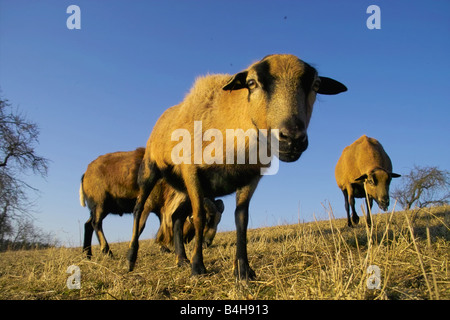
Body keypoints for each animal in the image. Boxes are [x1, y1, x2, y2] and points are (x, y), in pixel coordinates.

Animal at [80, 146, 224, 264]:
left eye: (218, 221)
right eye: (207, 219)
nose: (207, 243)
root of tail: (85, 174)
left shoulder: (161, 208)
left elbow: (162, 226)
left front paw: (163, 247)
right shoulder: (146, 205)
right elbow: (140, 226)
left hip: (100, 208)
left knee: (88, 225)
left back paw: (87, 254)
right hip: (100, 204)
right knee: (96, 223)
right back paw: (107, 251)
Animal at [128, 53, 346, 278]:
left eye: (316, 84)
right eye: (251, 83)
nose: (292, 139)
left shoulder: (250, 177)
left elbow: (241, 219)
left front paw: (243, 270)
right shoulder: (192, 171)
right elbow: (199, 217)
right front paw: (198, 267)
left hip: (182, 188)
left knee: (177, 218)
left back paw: (182, 260)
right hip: (151, 170)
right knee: (139, 209)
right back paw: (132, 259)